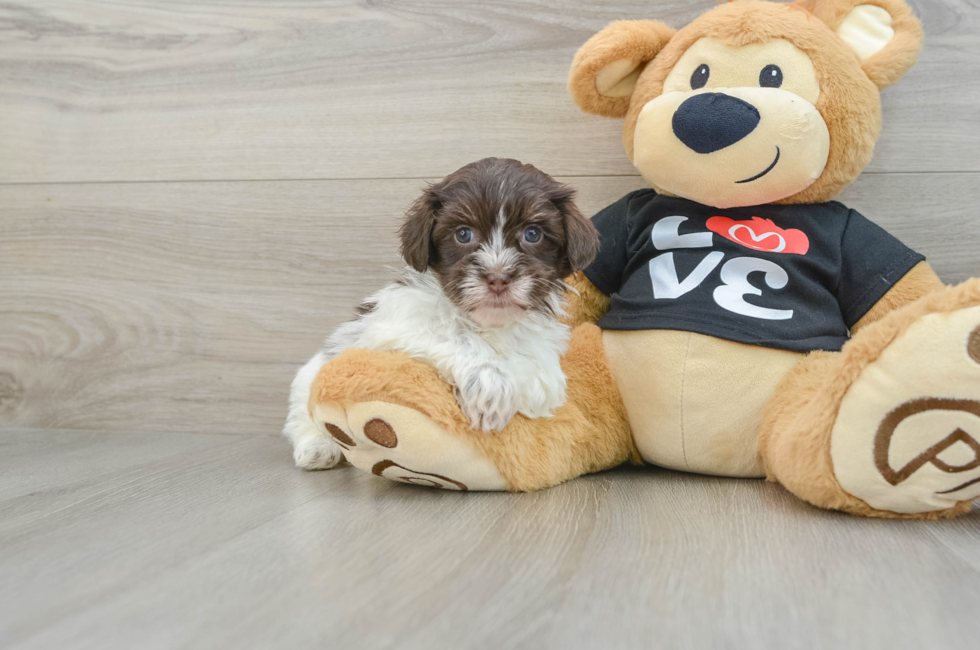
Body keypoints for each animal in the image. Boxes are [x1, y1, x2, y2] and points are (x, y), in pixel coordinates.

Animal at [284, 158, 596, 470]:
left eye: (533, 234)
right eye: (463, 234)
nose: (497, 278)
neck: (487, 322)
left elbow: (536, 356)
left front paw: (539, 382)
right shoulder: (394, 325)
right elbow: (456, 337)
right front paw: (491, 384)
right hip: (310, 377)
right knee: (302, 414)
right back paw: (318, 447)